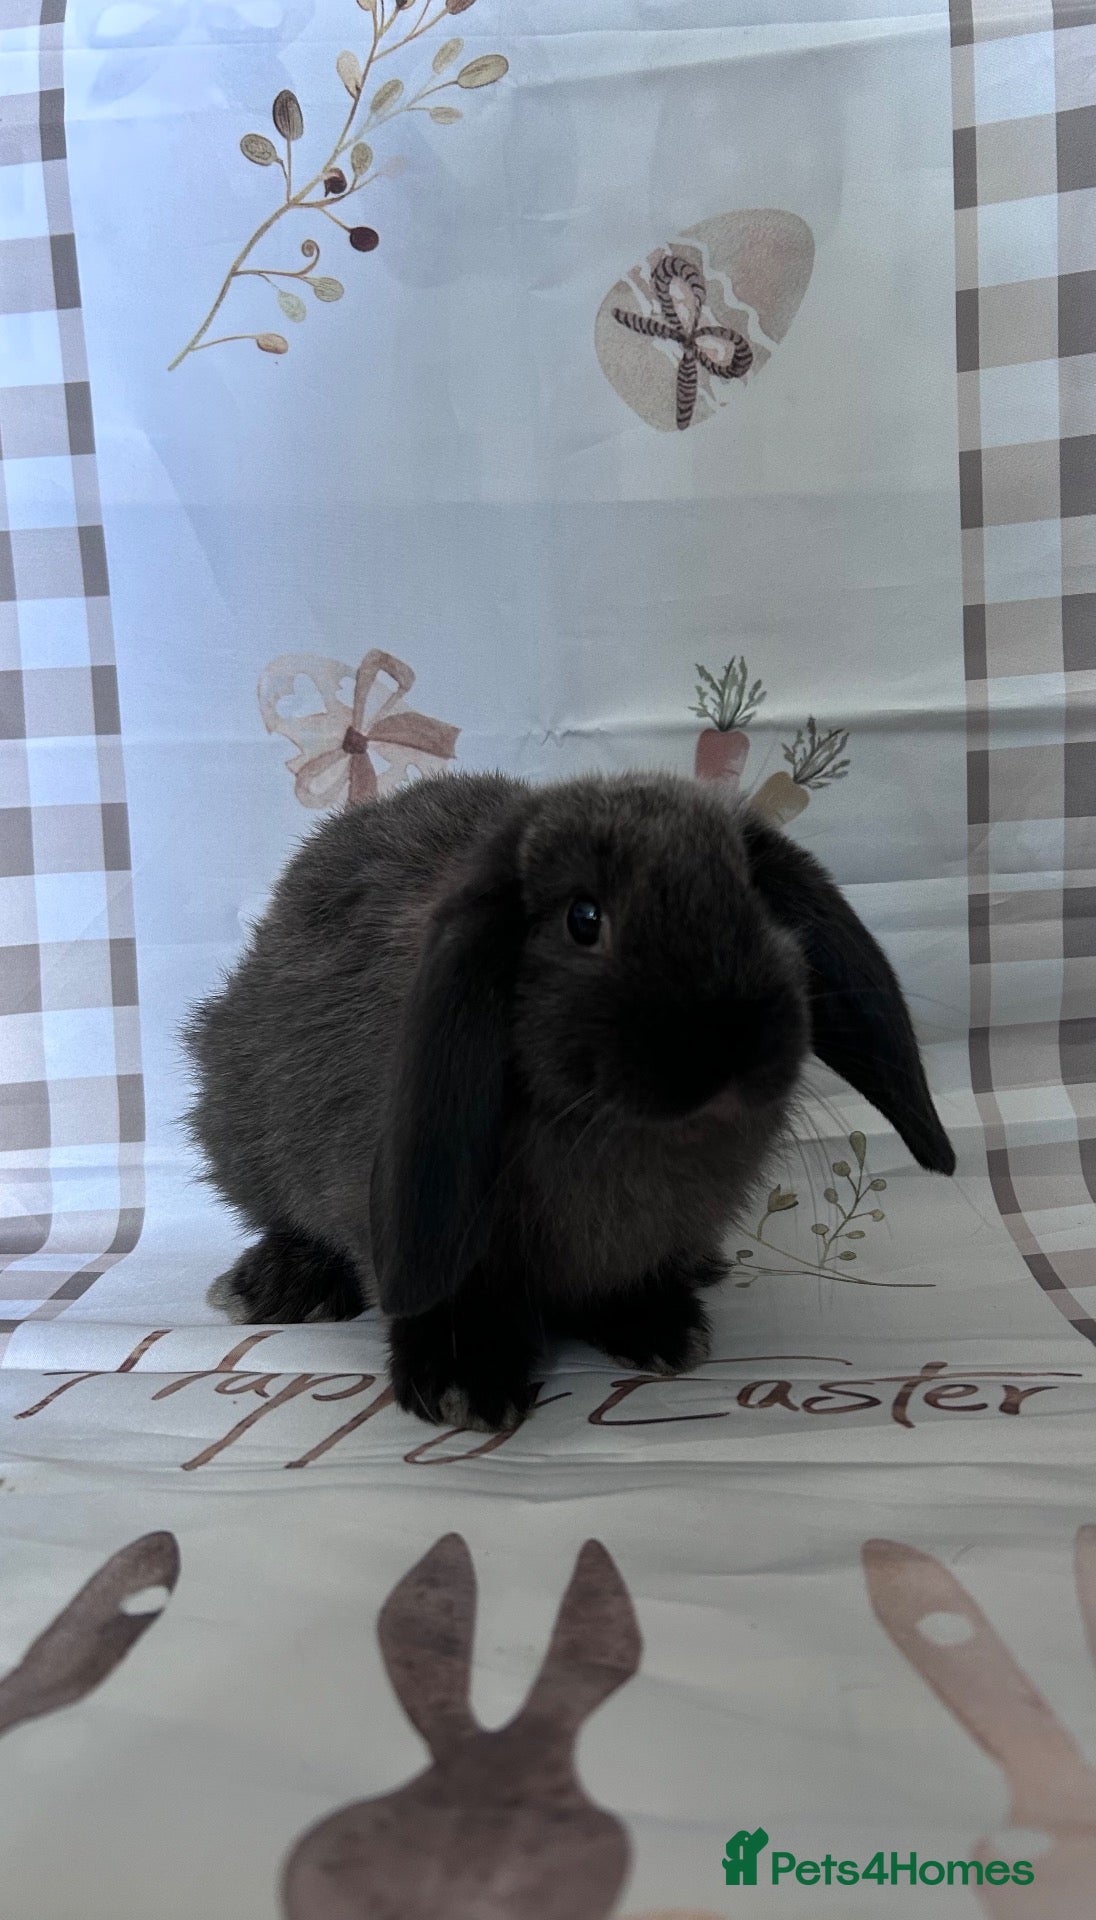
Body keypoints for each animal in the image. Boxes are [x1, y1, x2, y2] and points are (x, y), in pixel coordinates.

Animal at [185, 769, 955, 1432]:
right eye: (583, 919)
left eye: (756, 899)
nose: (730, 1040)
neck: (616, 1132)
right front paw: (463, 1382)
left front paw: (660, 1329)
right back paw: (279, 1285)